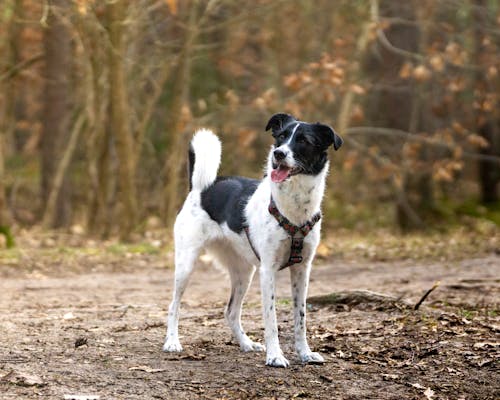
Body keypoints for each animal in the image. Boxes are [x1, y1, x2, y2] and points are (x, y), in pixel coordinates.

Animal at [162, 111, 342, 366]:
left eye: (304, 141)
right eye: (281, 137)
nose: (278, 154)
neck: (293, 208)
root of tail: (200, 188)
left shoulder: (302, 270)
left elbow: (301, 318)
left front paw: (305, 353)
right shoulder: (268, 271)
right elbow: (271, 319)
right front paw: (275, 356)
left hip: (244, 273)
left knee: (231, 311)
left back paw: (246, 343)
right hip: (186, 264)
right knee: (173, 305)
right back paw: (172, 342)